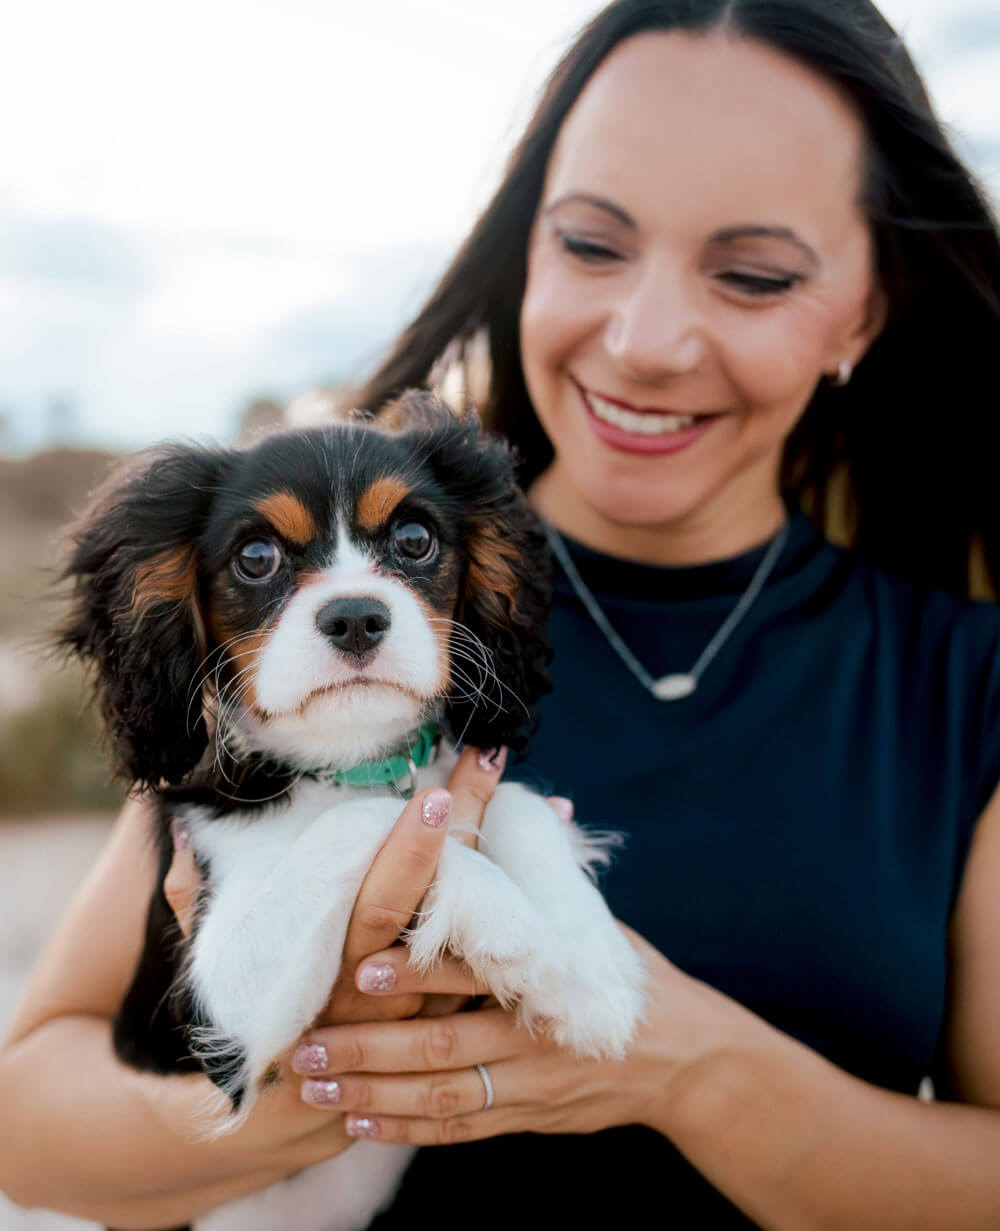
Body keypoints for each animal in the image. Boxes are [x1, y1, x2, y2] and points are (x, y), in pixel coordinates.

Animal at [62, 391, 645, 1231]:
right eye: (257, 557)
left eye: (413, 539)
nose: (356, 617)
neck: (354, 762)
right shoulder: (219, 1001)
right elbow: (369, 821)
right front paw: (510, 926)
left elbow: (508, 802)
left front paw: (591, 970)